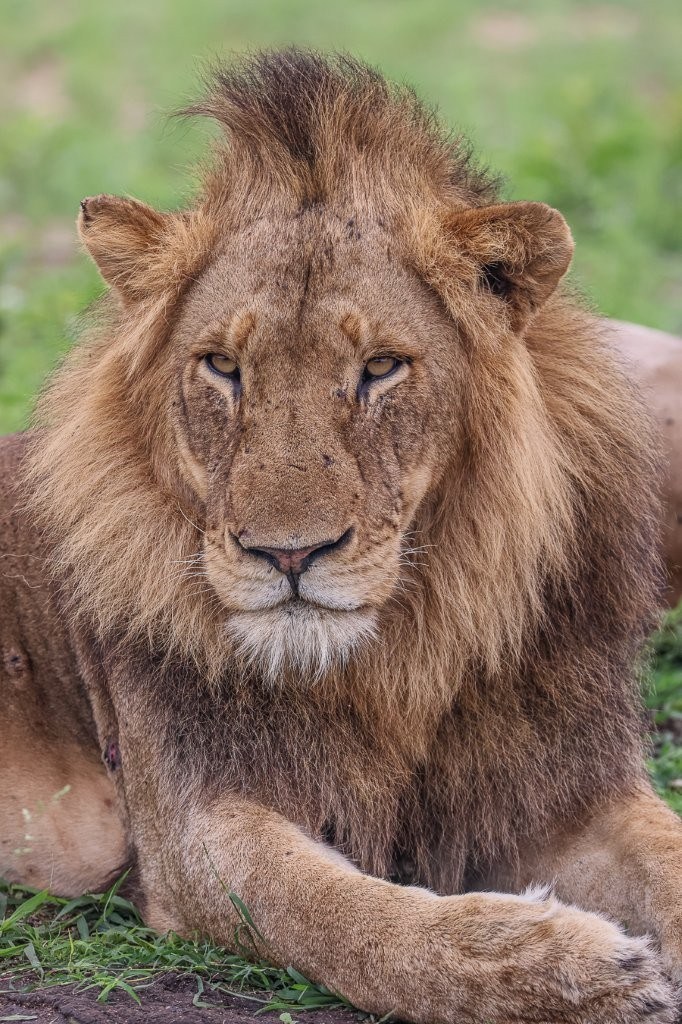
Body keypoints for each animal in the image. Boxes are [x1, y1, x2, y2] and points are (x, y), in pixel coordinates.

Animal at [1, 49, 682, 1024]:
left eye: (381, 368)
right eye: (223, 366)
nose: (288, 554)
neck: (403, 662)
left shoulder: (562, 783)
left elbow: (669, 856)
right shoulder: (194, 825)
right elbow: (338, 915)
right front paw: (559, 966)